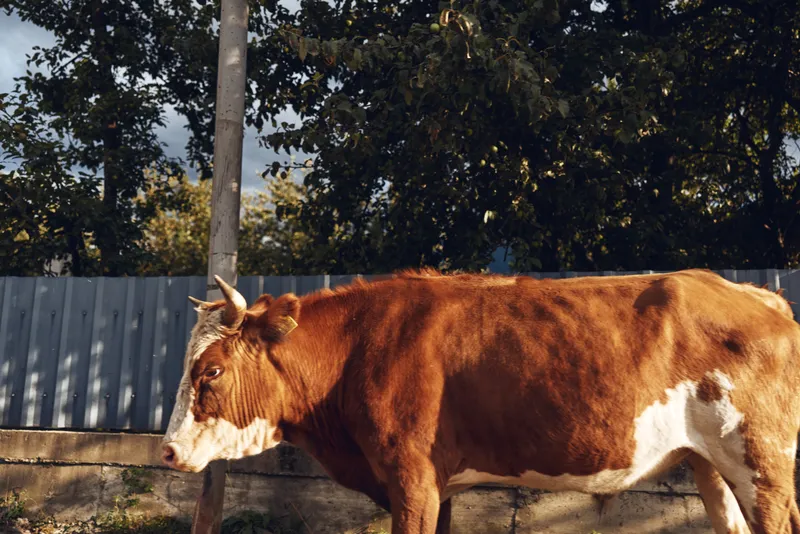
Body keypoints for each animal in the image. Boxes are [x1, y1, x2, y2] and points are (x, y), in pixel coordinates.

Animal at [161, 268, 800, 534]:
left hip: (762, 462)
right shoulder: (437, 486)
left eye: (211, 370)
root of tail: (758, 295)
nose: (166, 452)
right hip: (709, 464)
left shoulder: (412, 475)